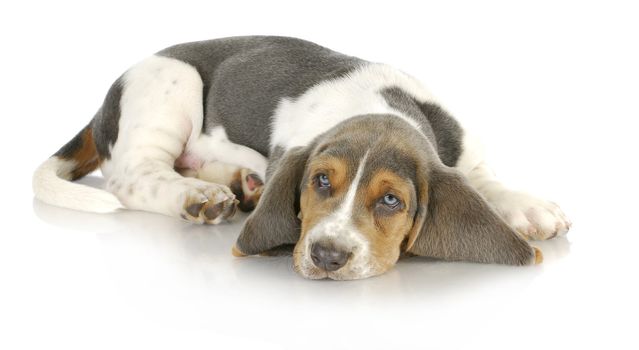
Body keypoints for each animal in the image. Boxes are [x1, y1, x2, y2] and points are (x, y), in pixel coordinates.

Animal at [32, 37, 568, 280]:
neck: (375, 107)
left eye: (391, 200)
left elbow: (483, 180)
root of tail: (103, 104)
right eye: (321, 182)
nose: (327, 255)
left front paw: (529, 209)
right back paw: (200, 196)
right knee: (132, 177)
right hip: (173, 86)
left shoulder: (462, 152)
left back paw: (239, 183)